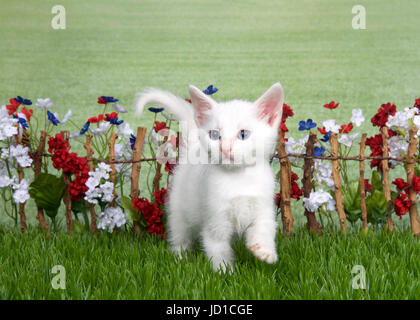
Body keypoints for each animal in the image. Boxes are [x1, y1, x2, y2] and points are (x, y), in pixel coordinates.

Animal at [136, 83, 284, 272]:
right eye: (214, 135)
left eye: (243, 134)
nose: (225, 148)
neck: (238, 179)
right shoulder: (215, 218)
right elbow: (218, 246)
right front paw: (225, 272)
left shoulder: (263, 204)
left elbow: (264, 227)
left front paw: (265, 251)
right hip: (179, 210)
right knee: (180, 237)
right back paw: (180, 260)